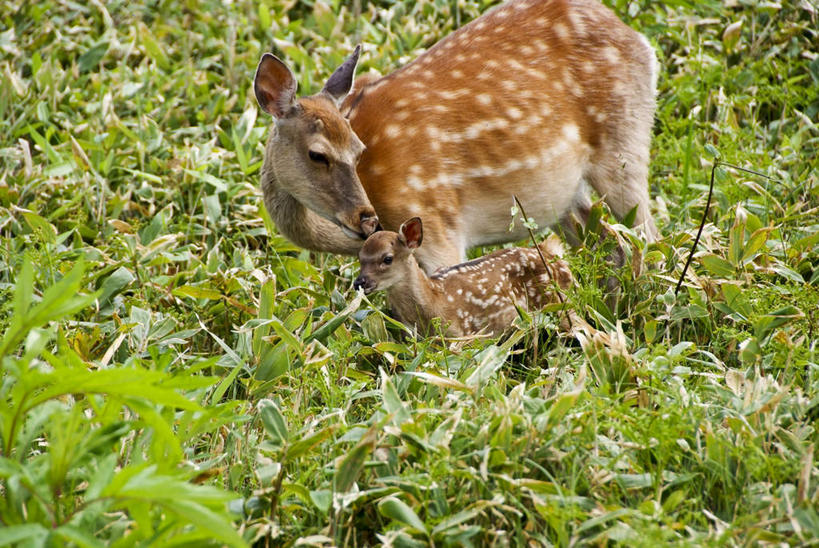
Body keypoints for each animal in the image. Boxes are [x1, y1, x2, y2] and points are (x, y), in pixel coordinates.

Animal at [256, 0, 660, 274]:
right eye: (317, 154)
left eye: (358, 150)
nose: (366, 220)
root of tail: (640, 40)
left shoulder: (437, 227)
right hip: (565, 193)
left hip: (624, 140)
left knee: (650, 237)